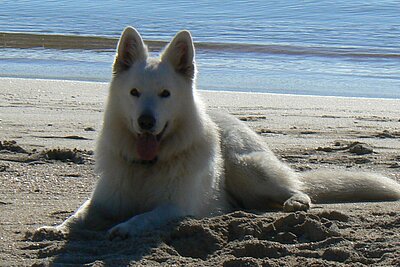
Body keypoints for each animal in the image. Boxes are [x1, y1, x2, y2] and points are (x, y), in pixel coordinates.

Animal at [35, 26, 400, 241]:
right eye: (135, 93)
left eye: (165, 94)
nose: (146, 122)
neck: (148, 167)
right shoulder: (102, 200)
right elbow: (78, 215)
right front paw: (55, 228)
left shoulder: (176, 207)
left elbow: (145, 216)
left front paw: (124, 227)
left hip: (245, 167)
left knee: (297, 189)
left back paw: (294, 202)